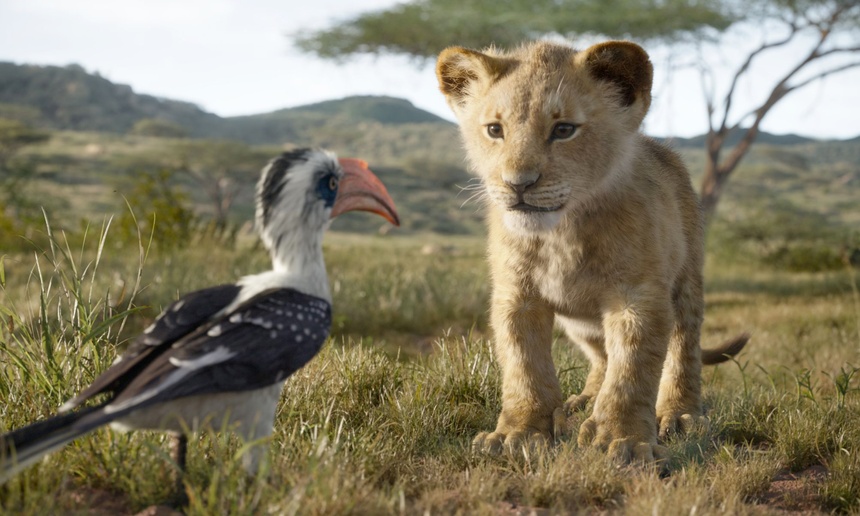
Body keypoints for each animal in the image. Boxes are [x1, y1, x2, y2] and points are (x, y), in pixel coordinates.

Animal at [435, 40, 748, 463]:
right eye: (495, 130)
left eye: (564, 129)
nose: (518, 184)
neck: (561, 233)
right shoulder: (516, 296)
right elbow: (524, 366)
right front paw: (518, 433)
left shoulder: (637, 296)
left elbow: (632, 370)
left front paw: (624, 439)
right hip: (580, 323)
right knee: (601, 356)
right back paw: (582, 401)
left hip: (686, 282)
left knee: (683, 348)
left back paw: (680, 414)